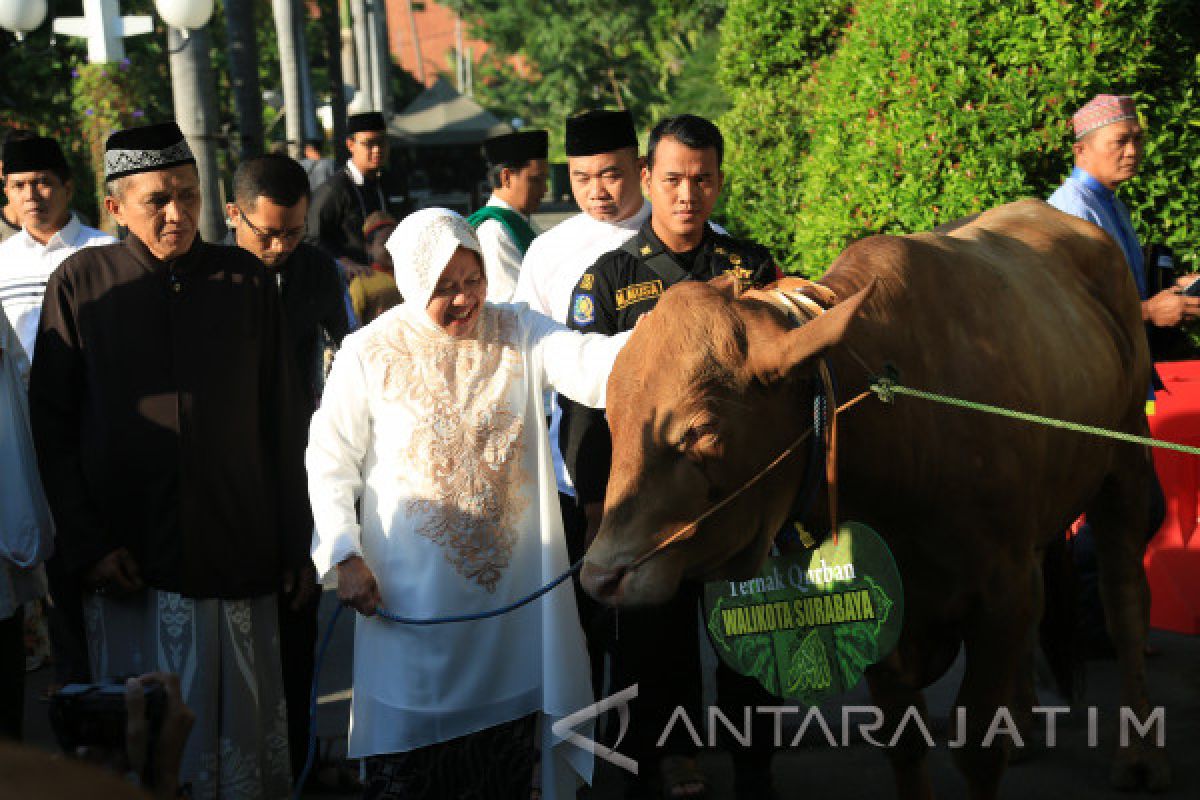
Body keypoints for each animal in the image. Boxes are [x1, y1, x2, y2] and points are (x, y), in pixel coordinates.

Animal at [585, 199, 1166, 796]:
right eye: (613, 415)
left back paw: (1138, 755)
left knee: (1125, 602)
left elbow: (979, 748)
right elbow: (904, 741)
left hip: (1125, 467)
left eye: (702, 429)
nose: (601, 575)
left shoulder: (999, 594)